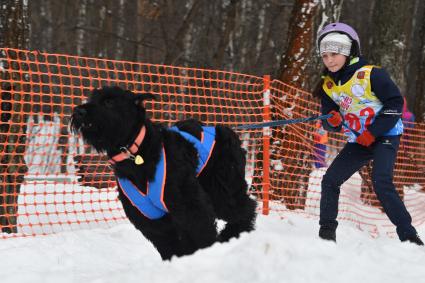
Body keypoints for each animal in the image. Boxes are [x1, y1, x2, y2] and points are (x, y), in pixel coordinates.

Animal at [71, 86, 256, 260]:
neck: (135, 155)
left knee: (246, 207)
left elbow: (201, 234)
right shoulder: (152, 219)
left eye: (109, 101)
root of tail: (227, 130)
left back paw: (232, 235)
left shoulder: (190, 206)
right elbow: (171, 247)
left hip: (222, 189)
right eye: (91, 98)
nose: (79, 111)